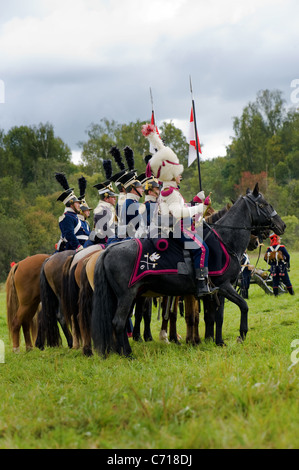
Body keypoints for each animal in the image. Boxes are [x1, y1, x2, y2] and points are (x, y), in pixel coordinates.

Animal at [91, 184, 286, 356]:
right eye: (263, 204)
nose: (281, 225)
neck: (225, 239)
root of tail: (108, 250)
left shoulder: (220, 290)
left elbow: (219, 316)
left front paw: (219, 342)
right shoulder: (223, 286)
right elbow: (243, 306)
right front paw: (241, 335)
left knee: (121, 322)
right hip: (127, 296)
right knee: (119, 322)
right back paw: (128, 354)